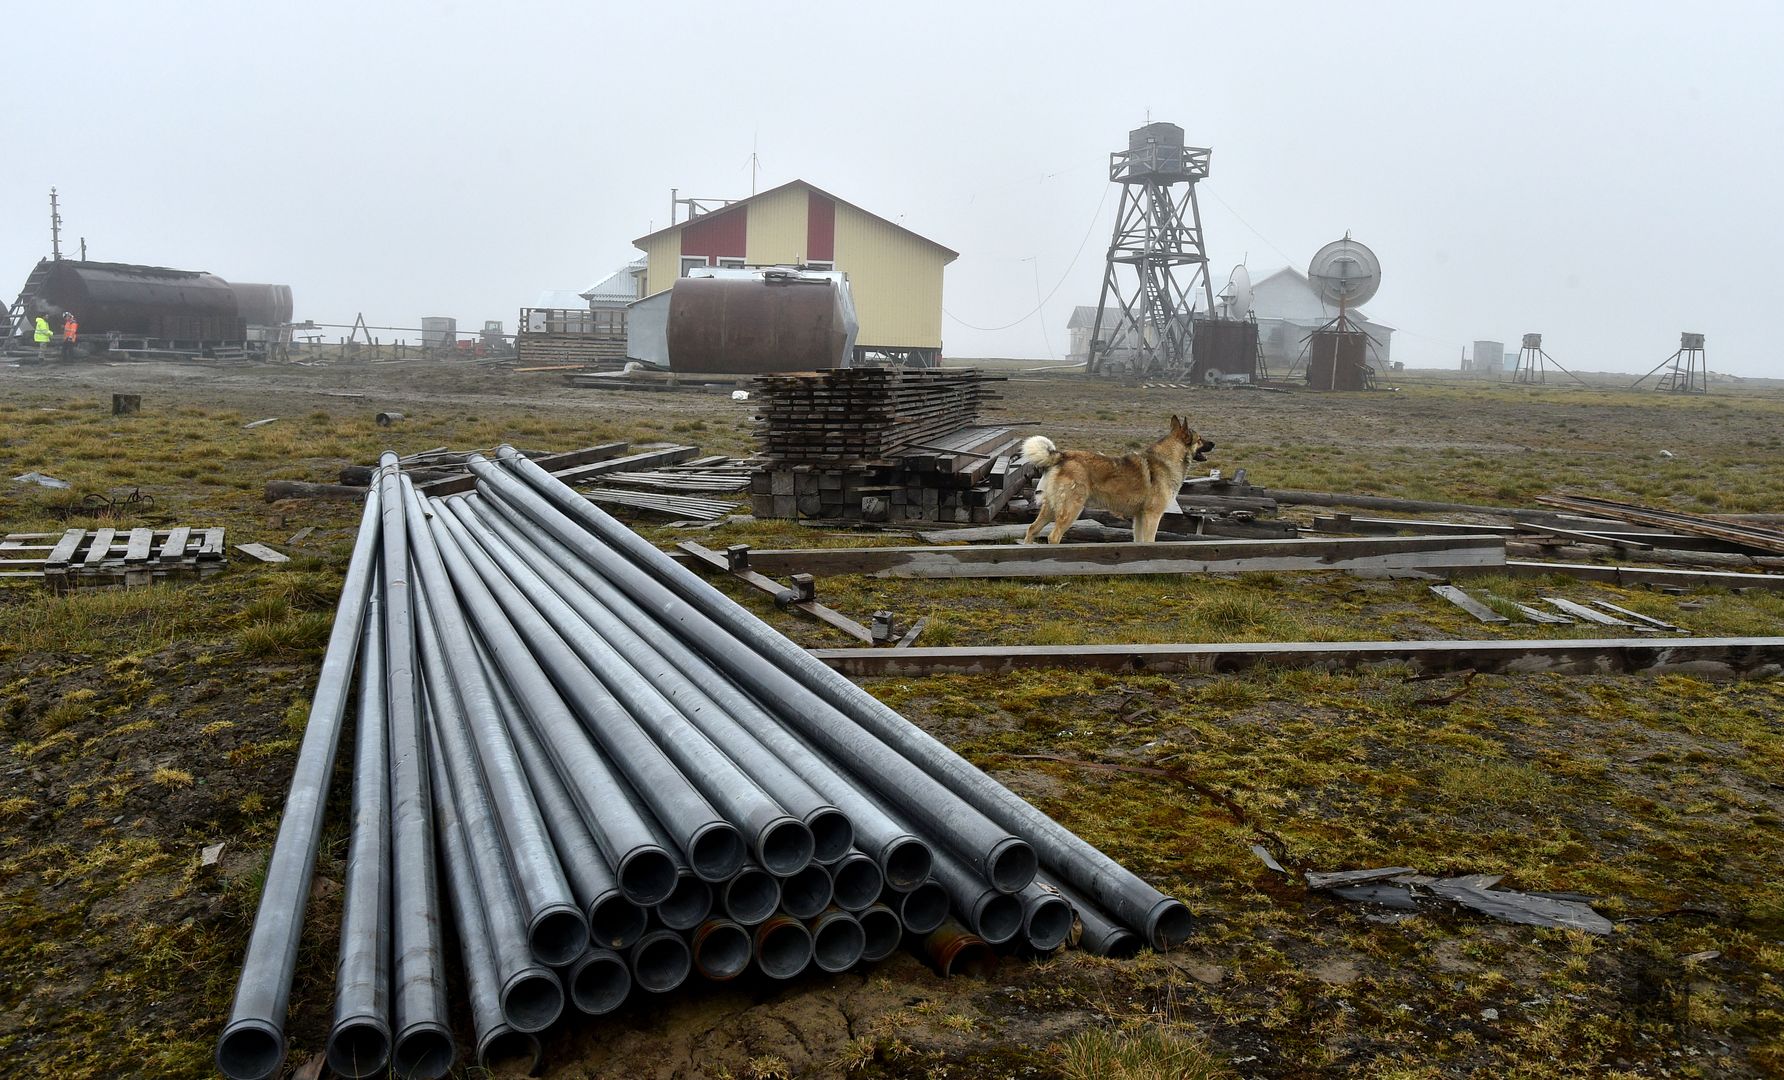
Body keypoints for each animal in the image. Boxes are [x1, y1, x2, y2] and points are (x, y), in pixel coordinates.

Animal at [1020, 414, 1213, 542]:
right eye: (1200, 439)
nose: (1214, 443)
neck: (1168, 459)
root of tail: (1062, 455)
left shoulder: (1140, 517)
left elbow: (1139, 542)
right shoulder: (1153, 515)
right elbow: (1150, 541)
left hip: (1051, 509)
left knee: (1032, 529)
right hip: (1071, 509)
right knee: (1053, 536)